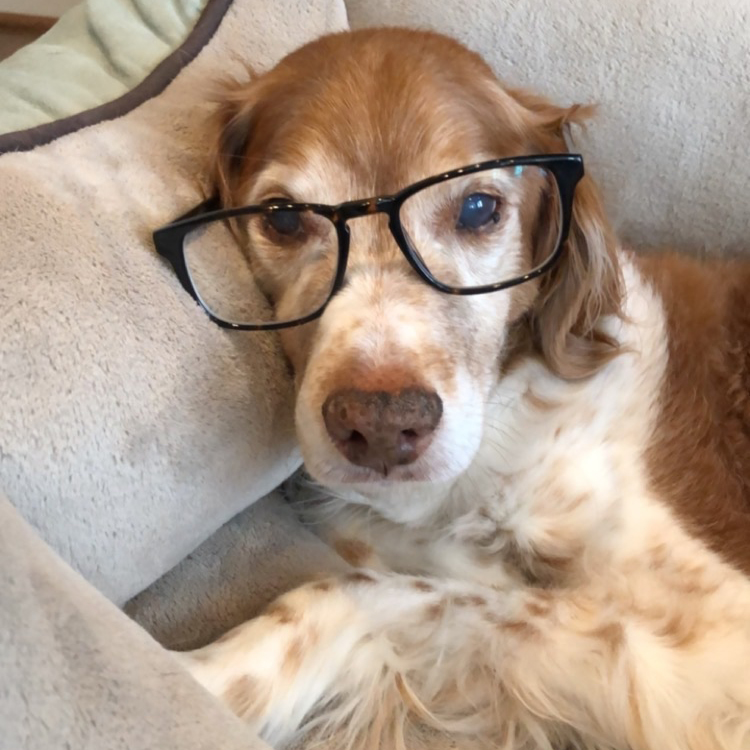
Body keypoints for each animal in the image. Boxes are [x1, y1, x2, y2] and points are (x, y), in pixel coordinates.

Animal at [173, 26, 750, 748]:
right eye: (282, 219)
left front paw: (198, 677)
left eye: (478, 208)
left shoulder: (712, 649)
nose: (382, 425)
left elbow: (367, 592)